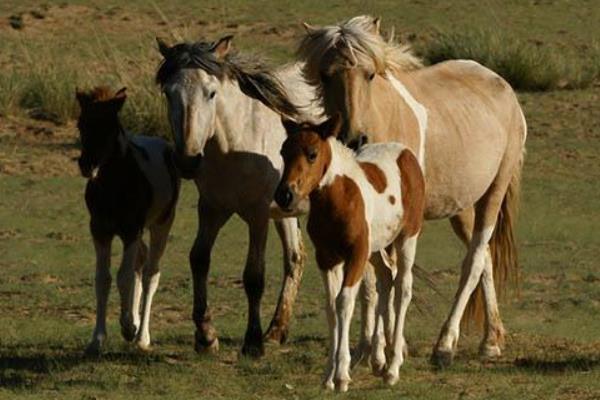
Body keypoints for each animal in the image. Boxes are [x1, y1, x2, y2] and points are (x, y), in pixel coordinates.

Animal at [75, 86, 179, 354]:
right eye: (81, 124)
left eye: (110, 126)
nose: (86, 164)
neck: (113, 185)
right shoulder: (99, 230)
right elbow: (103, 279)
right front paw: (97, 339)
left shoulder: (131, 229)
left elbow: (123, 276)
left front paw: (128, 327)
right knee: (140, 262)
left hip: (161, 223)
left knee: (151, 272)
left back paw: (141, 336)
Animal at [156, 36, 324, 354]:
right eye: (168, 93)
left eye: (211, 93)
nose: (187, 160)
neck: (236, 143)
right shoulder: (212, 208)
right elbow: (199, 259)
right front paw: (206, 335)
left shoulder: (257, 215)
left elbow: (254, 276)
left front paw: (252, 341)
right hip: (285, 213)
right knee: (296, 258)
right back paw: (276, 331)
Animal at [274, 115, 424, 390]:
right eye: (283, 152)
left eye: (312, 154)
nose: (284, 195)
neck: (340, 197)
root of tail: (405, 153)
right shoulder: (327, 258)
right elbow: (331, 307)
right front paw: (327, 377)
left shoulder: (355, 254)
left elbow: (345, 302)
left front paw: (342, 375)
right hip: (375, 248)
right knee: (386, 279)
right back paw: (378, 360)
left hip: (407, 238)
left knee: (403, 289)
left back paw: (392, 368)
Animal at [298, 16, 528, 366]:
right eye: (325, 75)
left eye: (369, 74)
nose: (353, 138)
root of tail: (503, 86)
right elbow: (369, 281)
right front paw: (365, 348)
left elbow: (392, 278)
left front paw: (391, 347)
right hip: (462, 207)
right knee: (485, 258)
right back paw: (491, 340)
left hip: (494, 192)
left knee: (473, 262)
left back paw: (445, 345)